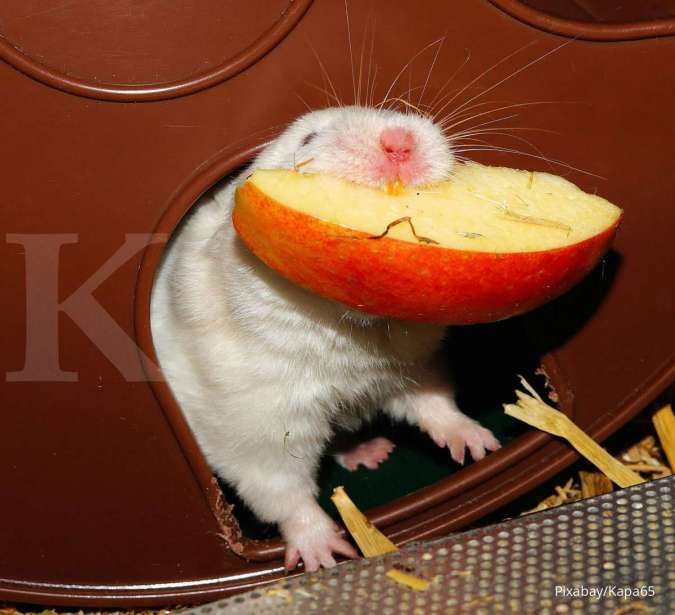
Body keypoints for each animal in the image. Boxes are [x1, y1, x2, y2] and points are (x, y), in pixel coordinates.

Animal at [150, 106, 501, 572]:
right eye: (308, 139)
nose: (399, 142)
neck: (353, 330)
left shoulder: (414, 364)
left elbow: (433, 403)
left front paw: (479, 446)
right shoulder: (255, 424)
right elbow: (282, 490)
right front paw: (327, 556)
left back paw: (374, 451)